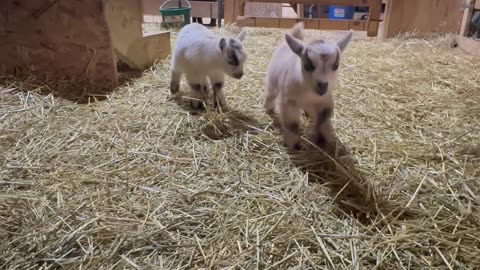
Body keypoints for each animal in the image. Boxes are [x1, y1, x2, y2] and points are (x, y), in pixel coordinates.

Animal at [262, 21, 352, 150]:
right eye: (308, 65)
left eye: (336, 66)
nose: (322, 86)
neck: (308, 93)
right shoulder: (288, 102)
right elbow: (292, 124)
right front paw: (294, 145)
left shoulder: (325, 101)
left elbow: (323, 121)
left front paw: (323, 140)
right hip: (272, 81)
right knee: (270, 94)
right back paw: (268, 109)